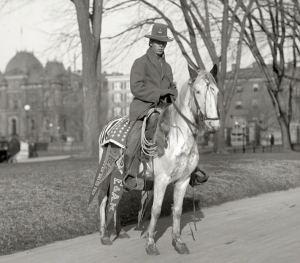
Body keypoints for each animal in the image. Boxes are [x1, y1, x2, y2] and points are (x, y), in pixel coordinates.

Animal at [99, 65, 220, 256]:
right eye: (198, 91)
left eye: (216, 91)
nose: (214, 125)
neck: (178, 136)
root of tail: (108, 125)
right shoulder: (162, 180)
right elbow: (155, 210)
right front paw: (150, 244)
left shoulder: (183, 180)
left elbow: (177, 211)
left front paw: (178, 242)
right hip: (107, 174)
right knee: (104, 199)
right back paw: (104, 235)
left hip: (121, 177)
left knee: (115, 200)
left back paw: (120, 232)